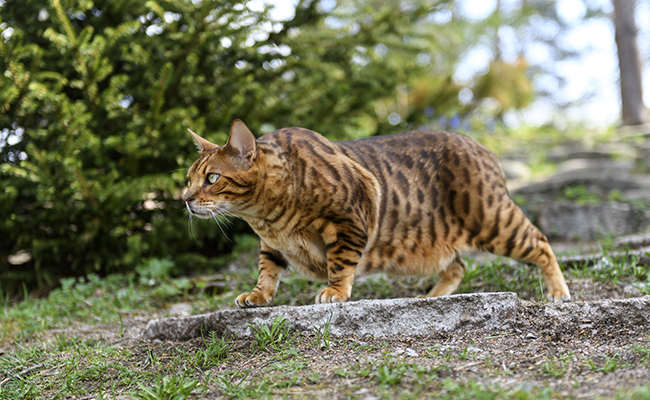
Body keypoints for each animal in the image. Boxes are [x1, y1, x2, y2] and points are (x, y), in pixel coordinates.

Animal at [182, 119, 568, 306]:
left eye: (212, 178)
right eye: (188, 178)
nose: (184, 198)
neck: (267, 217)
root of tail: (483, 147)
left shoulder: (350, 219)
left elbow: (340, 263)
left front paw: (335, 291)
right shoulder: (272, 244)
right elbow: (267, 270)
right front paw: (259, 295)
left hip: (491, 220)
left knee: (540, 242)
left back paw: (558, 291)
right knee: (458, 264)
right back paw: (432, 297)